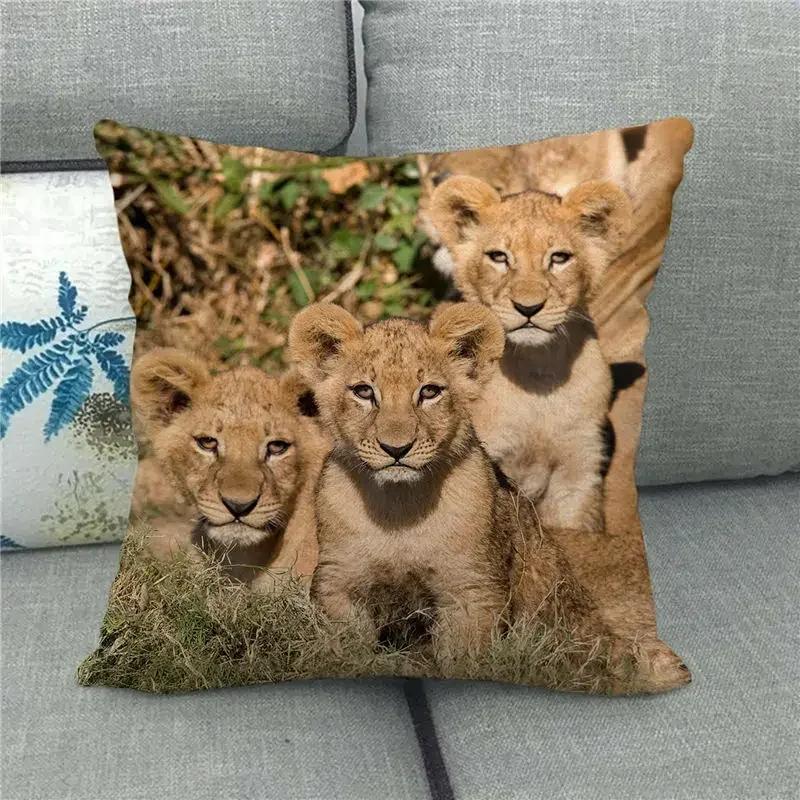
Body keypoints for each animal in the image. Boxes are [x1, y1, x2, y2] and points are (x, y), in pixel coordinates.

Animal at [287, 302, 689, 692]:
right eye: (364, 392)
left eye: (429, 392)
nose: (396, 449)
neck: (399, 510)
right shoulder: (339, 582)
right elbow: (345, 649)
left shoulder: (471, 590)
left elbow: (462, 660)